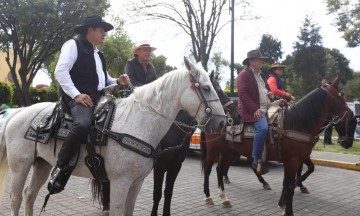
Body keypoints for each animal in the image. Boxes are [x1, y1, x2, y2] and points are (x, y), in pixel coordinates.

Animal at [0, 57, 225, 216]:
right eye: (206, 88)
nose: (223, 122)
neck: (138, 122)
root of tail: (17, 112)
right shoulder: (120, 182)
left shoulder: (137, 182)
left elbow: (131, 210)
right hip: (20, 167)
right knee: (16, 199)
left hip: (42, 164)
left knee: (29, 195)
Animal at [201, 78, 356, 216]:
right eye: (340, 96)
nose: (350, 113)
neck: (297, 123)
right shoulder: (292, 160)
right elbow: (290, 185)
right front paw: (289, 211)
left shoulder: (297, 159)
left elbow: (290, 181)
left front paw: (283, 203)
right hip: (213, 149)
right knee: (209, 169)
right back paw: (208, 196)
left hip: (229, 150)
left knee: (220, 169)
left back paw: (224, 198)